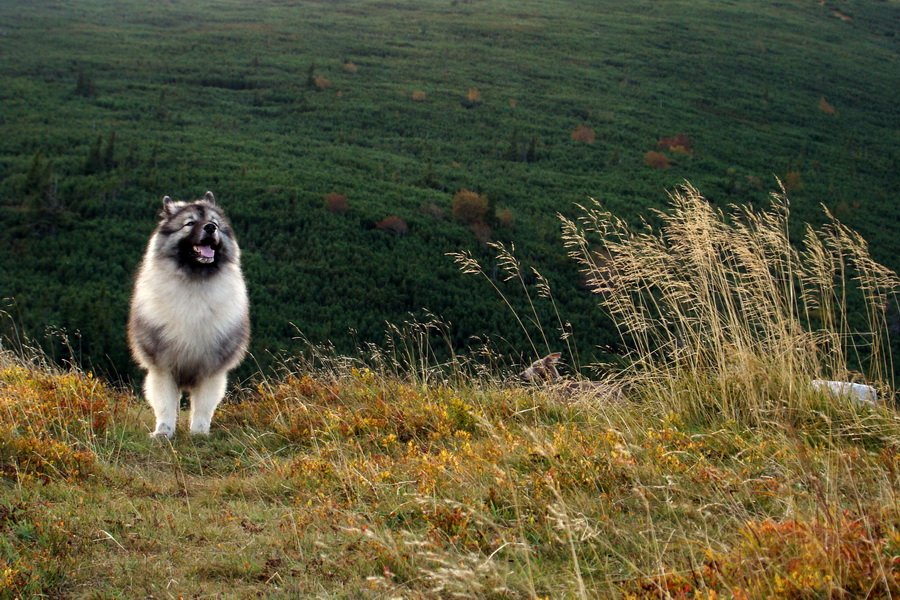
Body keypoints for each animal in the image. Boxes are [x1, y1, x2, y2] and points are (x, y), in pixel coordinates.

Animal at [127, 193, 250, 440]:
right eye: (190, 223)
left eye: (214, 222)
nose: (211, 228)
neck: (195, 283)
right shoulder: (163, 368)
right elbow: (165, 405)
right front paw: (163, 433)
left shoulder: (211, 369)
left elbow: (203, 407)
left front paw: (199, 433)